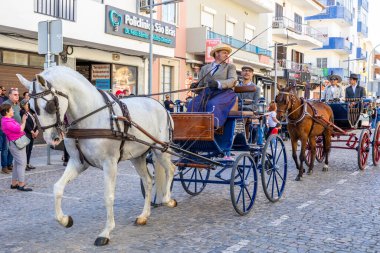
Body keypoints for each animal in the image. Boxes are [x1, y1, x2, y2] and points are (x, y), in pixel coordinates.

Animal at [17, 66, 177, 246]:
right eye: (30, 108)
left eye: (50, 105)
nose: (52, 139)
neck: (90, 117)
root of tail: (162, 107)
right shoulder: (77, 163)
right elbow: (57, 188)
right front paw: (65, 220)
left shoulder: (110, 164)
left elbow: (108, 197)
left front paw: (106, 232)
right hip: (138, 156)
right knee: (148, 181)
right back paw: (144, 215)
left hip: (161, 149)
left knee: (171, 169)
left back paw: (168, 199)